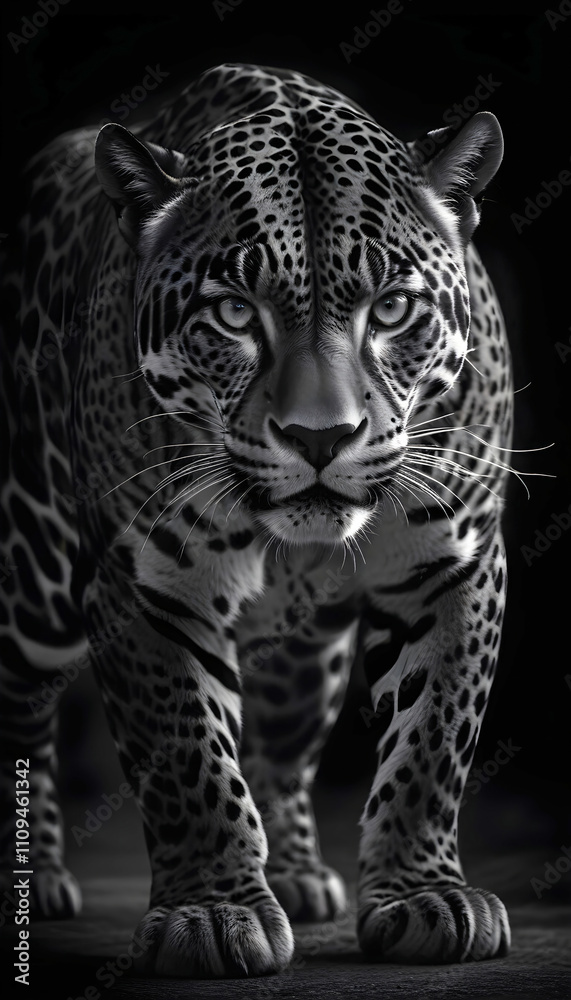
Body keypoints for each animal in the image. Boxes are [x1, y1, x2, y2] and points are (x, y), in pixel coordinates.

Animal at [0, 62, 513, 975]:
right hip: (39, 576)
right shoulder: (145, 586)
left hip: (310, 660)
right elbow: (188, 759)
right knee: (24, 698)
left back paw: (302, 876)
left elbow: (431, 743)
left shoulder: (453, 563)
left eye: (391, 310)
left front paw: (424, 896)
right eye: (235, 313)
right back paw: (41, 876)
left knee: (282, 746)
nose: (320, 437)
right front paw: (210, 913)